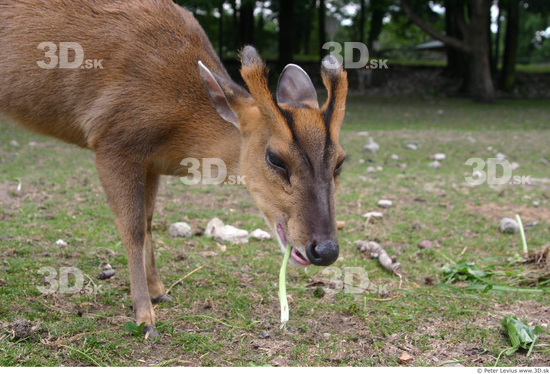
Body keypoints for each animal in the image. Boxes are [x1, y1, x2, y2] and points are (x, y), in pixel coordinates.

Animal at [0, 0, 350, 336]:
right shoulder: (112, 140)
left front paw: (159, 292)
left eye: (340, 161)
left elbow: (148, 223)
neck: (178, 123)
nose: (325, 250)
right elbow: (132, 228)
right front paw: (145, 318)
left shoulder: (150, 162)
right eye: (275, 158)